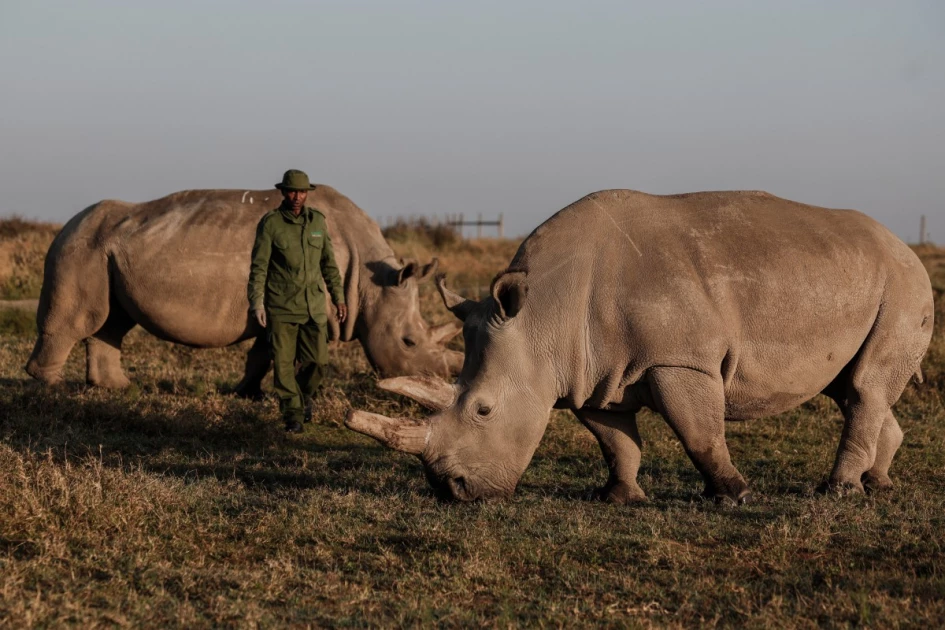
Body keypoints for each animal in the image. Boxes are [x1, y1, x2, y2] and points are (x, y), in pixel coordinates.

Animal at [24, 183, 460, 392]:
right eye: (408, 343)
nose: (438, 381)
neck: (369, 284)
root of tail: (65, 225)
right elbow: (279, 353)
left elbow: (262, 354)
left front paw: (248, 394)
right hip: (80, 245)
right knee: (80, 319)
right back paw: (50, 388)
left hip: (109, 251)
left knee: (113, 321)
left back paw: (118, 388)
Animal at [342, 189, 932, 504]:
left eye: (484, 410)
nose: (454, 491)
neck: (541, 318)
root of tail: (907, 248)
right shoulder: (588, 373)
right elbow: (615, 440)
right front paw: (618, 497)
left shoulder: (681, 359)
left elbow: (700, 433)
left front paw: (733, 495)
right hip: (864, 279)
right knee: (854, 389)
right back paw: (877, 485)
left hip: (903, 286)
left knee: (863, 388)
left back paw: (837, 492)